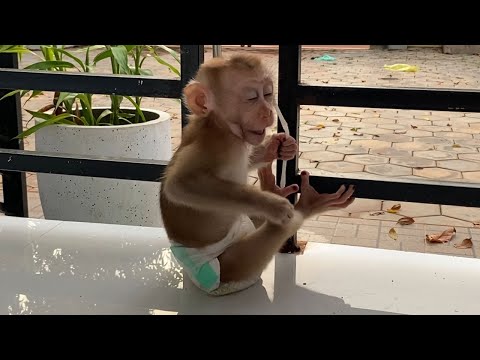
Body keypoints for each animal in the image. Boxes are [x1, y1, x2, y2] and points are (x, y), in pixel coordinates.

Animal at [159, 53, 354, 296]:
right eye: (251, 97)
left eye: (268, 94)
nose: (268, 112)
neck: (221, 125)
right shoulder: (217, 145)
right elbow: (180, 184)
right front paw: (273, 205)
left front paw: (278, 148)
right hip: (221, 271)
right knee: (273, 233)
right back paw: (302, 208)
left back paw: (275, 190)